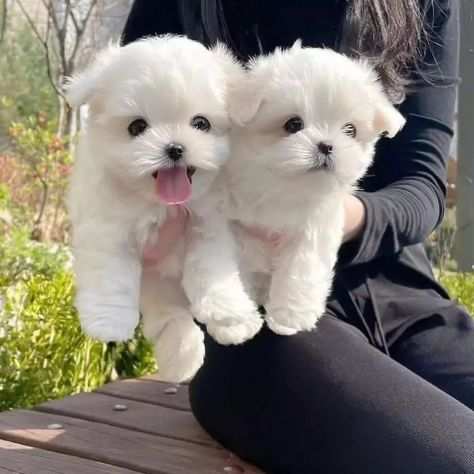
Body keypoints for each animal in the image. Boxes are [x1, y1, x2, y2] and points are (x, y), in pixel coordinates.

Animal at [65, 36, 262, 386]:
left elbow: (211, 269)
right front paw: (108, 320)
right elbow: (110, 274)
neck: (161, 203)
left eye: (201, 123)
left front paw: (226, 310)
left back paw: (236, 324)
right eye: (137, 127)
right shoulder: (107, 228)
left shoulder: (209, 226)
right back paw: (182, 357)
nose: (175, 148)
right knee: (171, 318)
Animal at [228, 42, 406, 336]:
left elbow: (302, 268)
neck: (283, 184)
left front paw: (289, 318)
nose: (326, 145)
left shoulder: (315, 226)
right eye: (293, 124)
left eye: (350, 130)